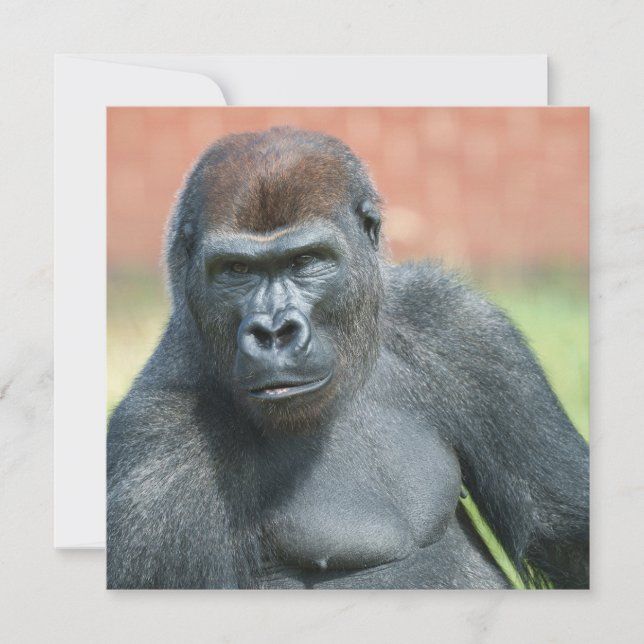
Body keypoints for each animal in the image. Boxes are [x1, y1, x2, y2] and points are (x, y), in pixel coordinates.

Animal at [107, 126, 589, 589]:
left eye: (305, 261)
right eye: (236, 270)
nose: (273, 333)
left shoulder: (463, 325)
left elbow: (565, 537)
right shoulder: (158, 461)